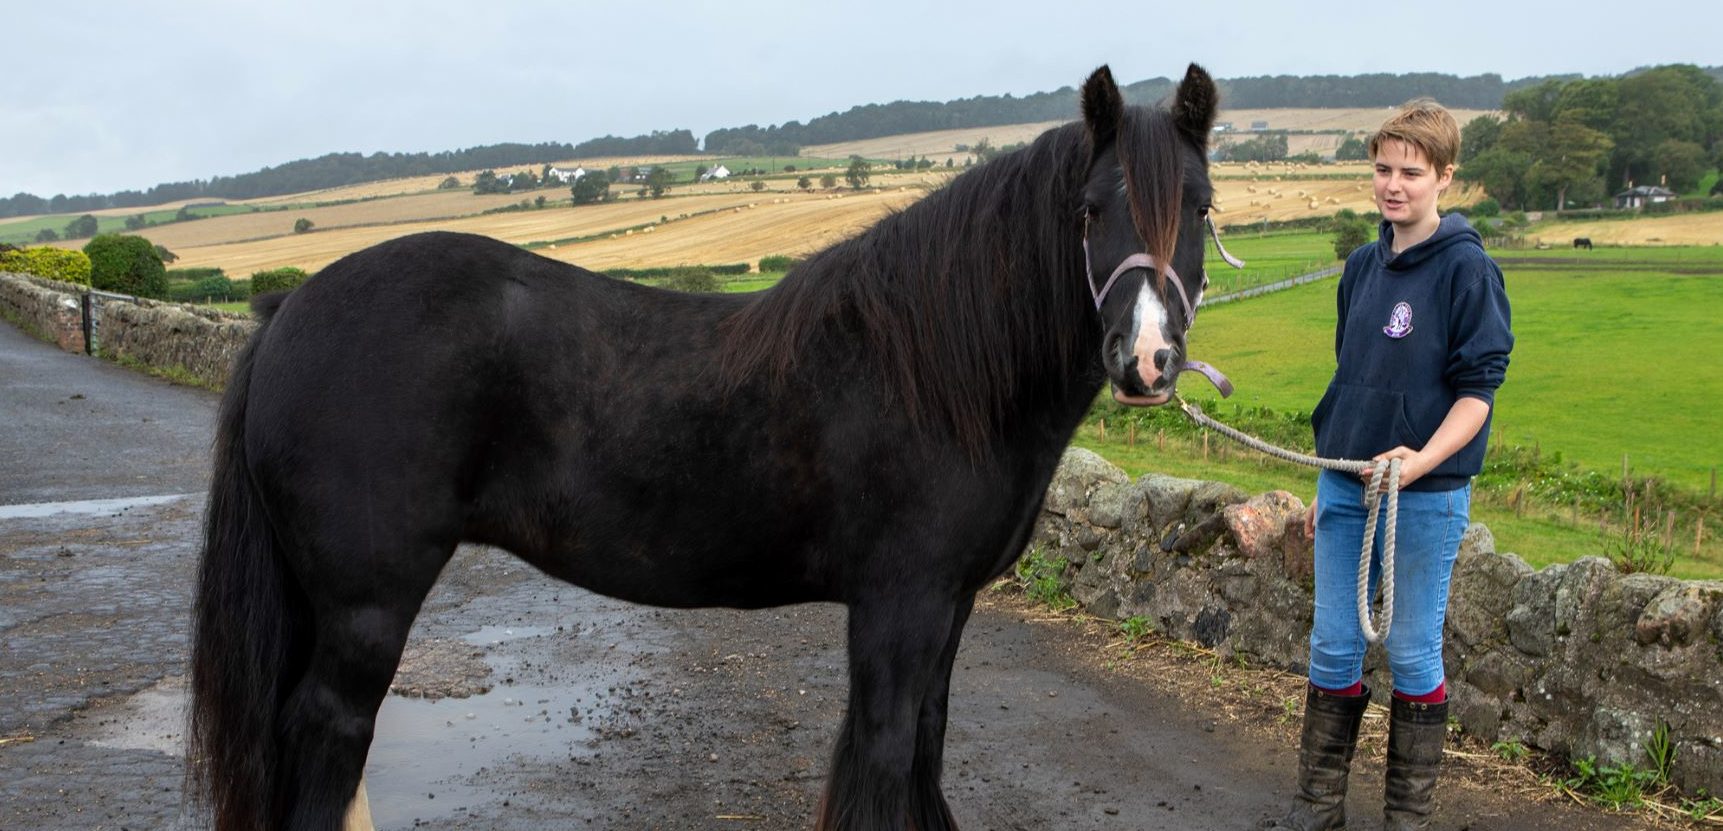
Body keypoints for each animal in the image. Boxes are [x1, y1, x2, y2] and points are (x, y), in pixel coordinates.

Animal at [192, 63, 1226, 831]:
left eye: (1203, 207)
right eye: (1088, 210)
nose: (1145, 359)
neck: (930, 365)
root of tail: (289, 309)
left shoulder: (948, 605)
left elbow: (924, 754)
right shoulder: (898, 604)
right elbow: (888, 754)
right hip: (366, 604)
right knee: (328, 736)